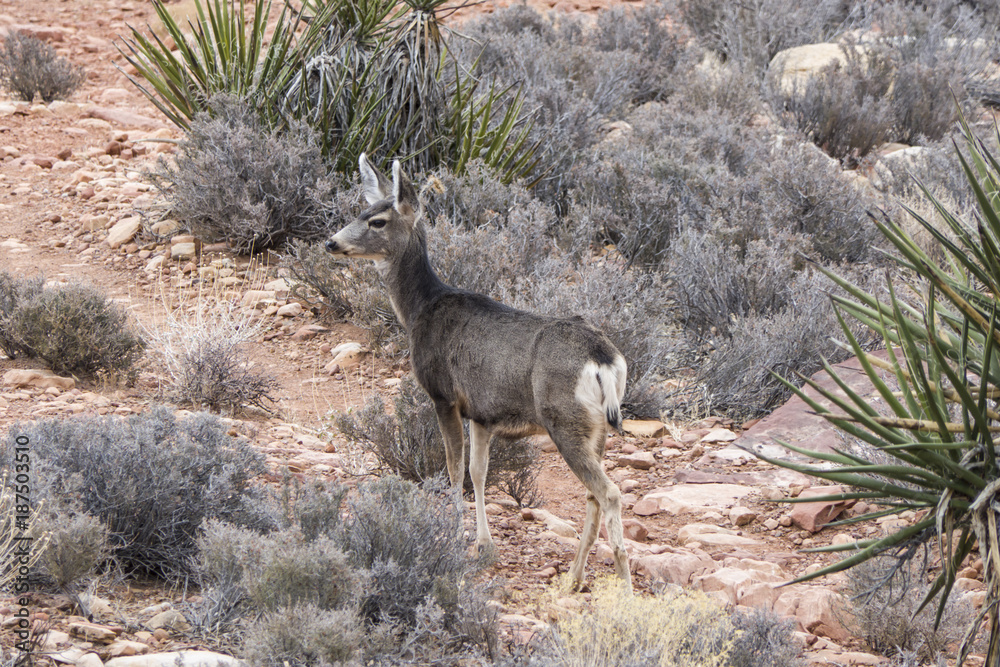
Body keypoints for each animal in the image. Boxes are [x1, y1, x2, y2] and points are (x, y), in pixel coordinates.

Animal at [326, 154, 632, 591]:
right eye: (360, 212)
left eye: (378, 221)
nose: (332, 242)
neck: (419, 310)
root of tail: (603, 359)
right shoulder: (483, 413)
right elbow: (479, 472)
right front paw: (485, 544)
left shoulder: (443, 395)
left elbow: (454, 469)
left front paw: (454, 533)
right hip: (597, 428)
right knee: (594, 495)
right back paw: (573, 578)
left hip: (564, 420)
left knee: (609, 494)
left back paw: (623, 585)